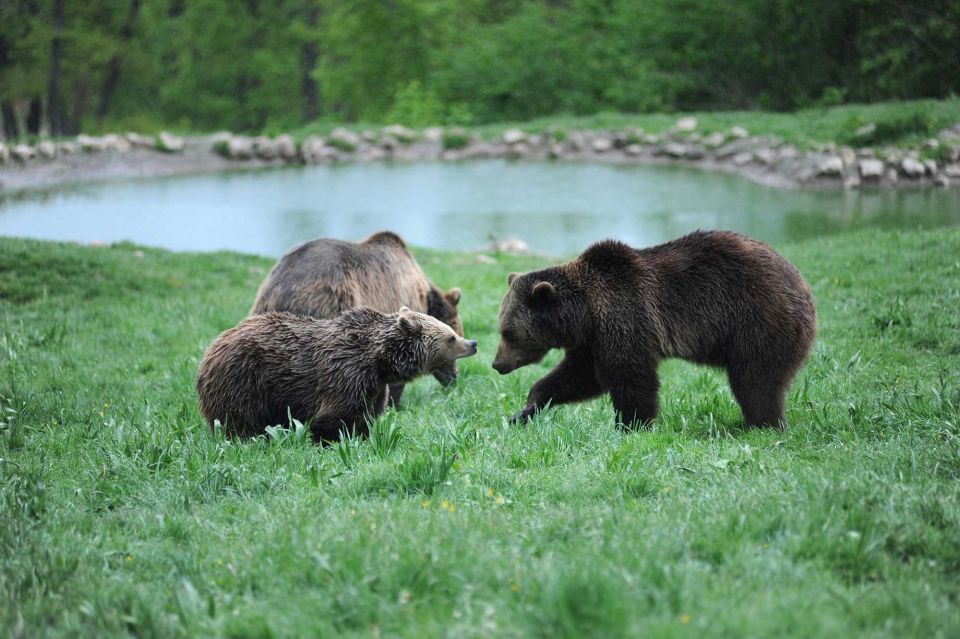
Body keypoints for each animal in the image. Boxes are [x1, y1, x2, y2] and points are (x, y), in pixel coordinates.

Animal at [198, 306, 476, 440]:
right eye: (451, 337)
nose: (472, 343)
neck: (380, 362)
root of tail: (209, 350)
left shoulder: (374, 387)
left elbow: (366, 416)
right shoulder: (345, 374)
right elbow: (333, 418)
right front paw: (329, 441)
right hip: (244, 380)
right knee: (239, 421)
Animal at [496, 230, 816, 430]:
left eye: (508, 333)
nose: (497, 364)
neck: (584, 314)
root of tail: (802, 283)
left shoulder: (626, 318)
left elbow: (631, 377)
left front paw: (631, 425)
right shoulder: (591, 340)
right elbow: (579, 376)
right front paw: (527, 408)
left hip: (758, 320)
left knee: (755, 380)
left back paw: (761, 424)